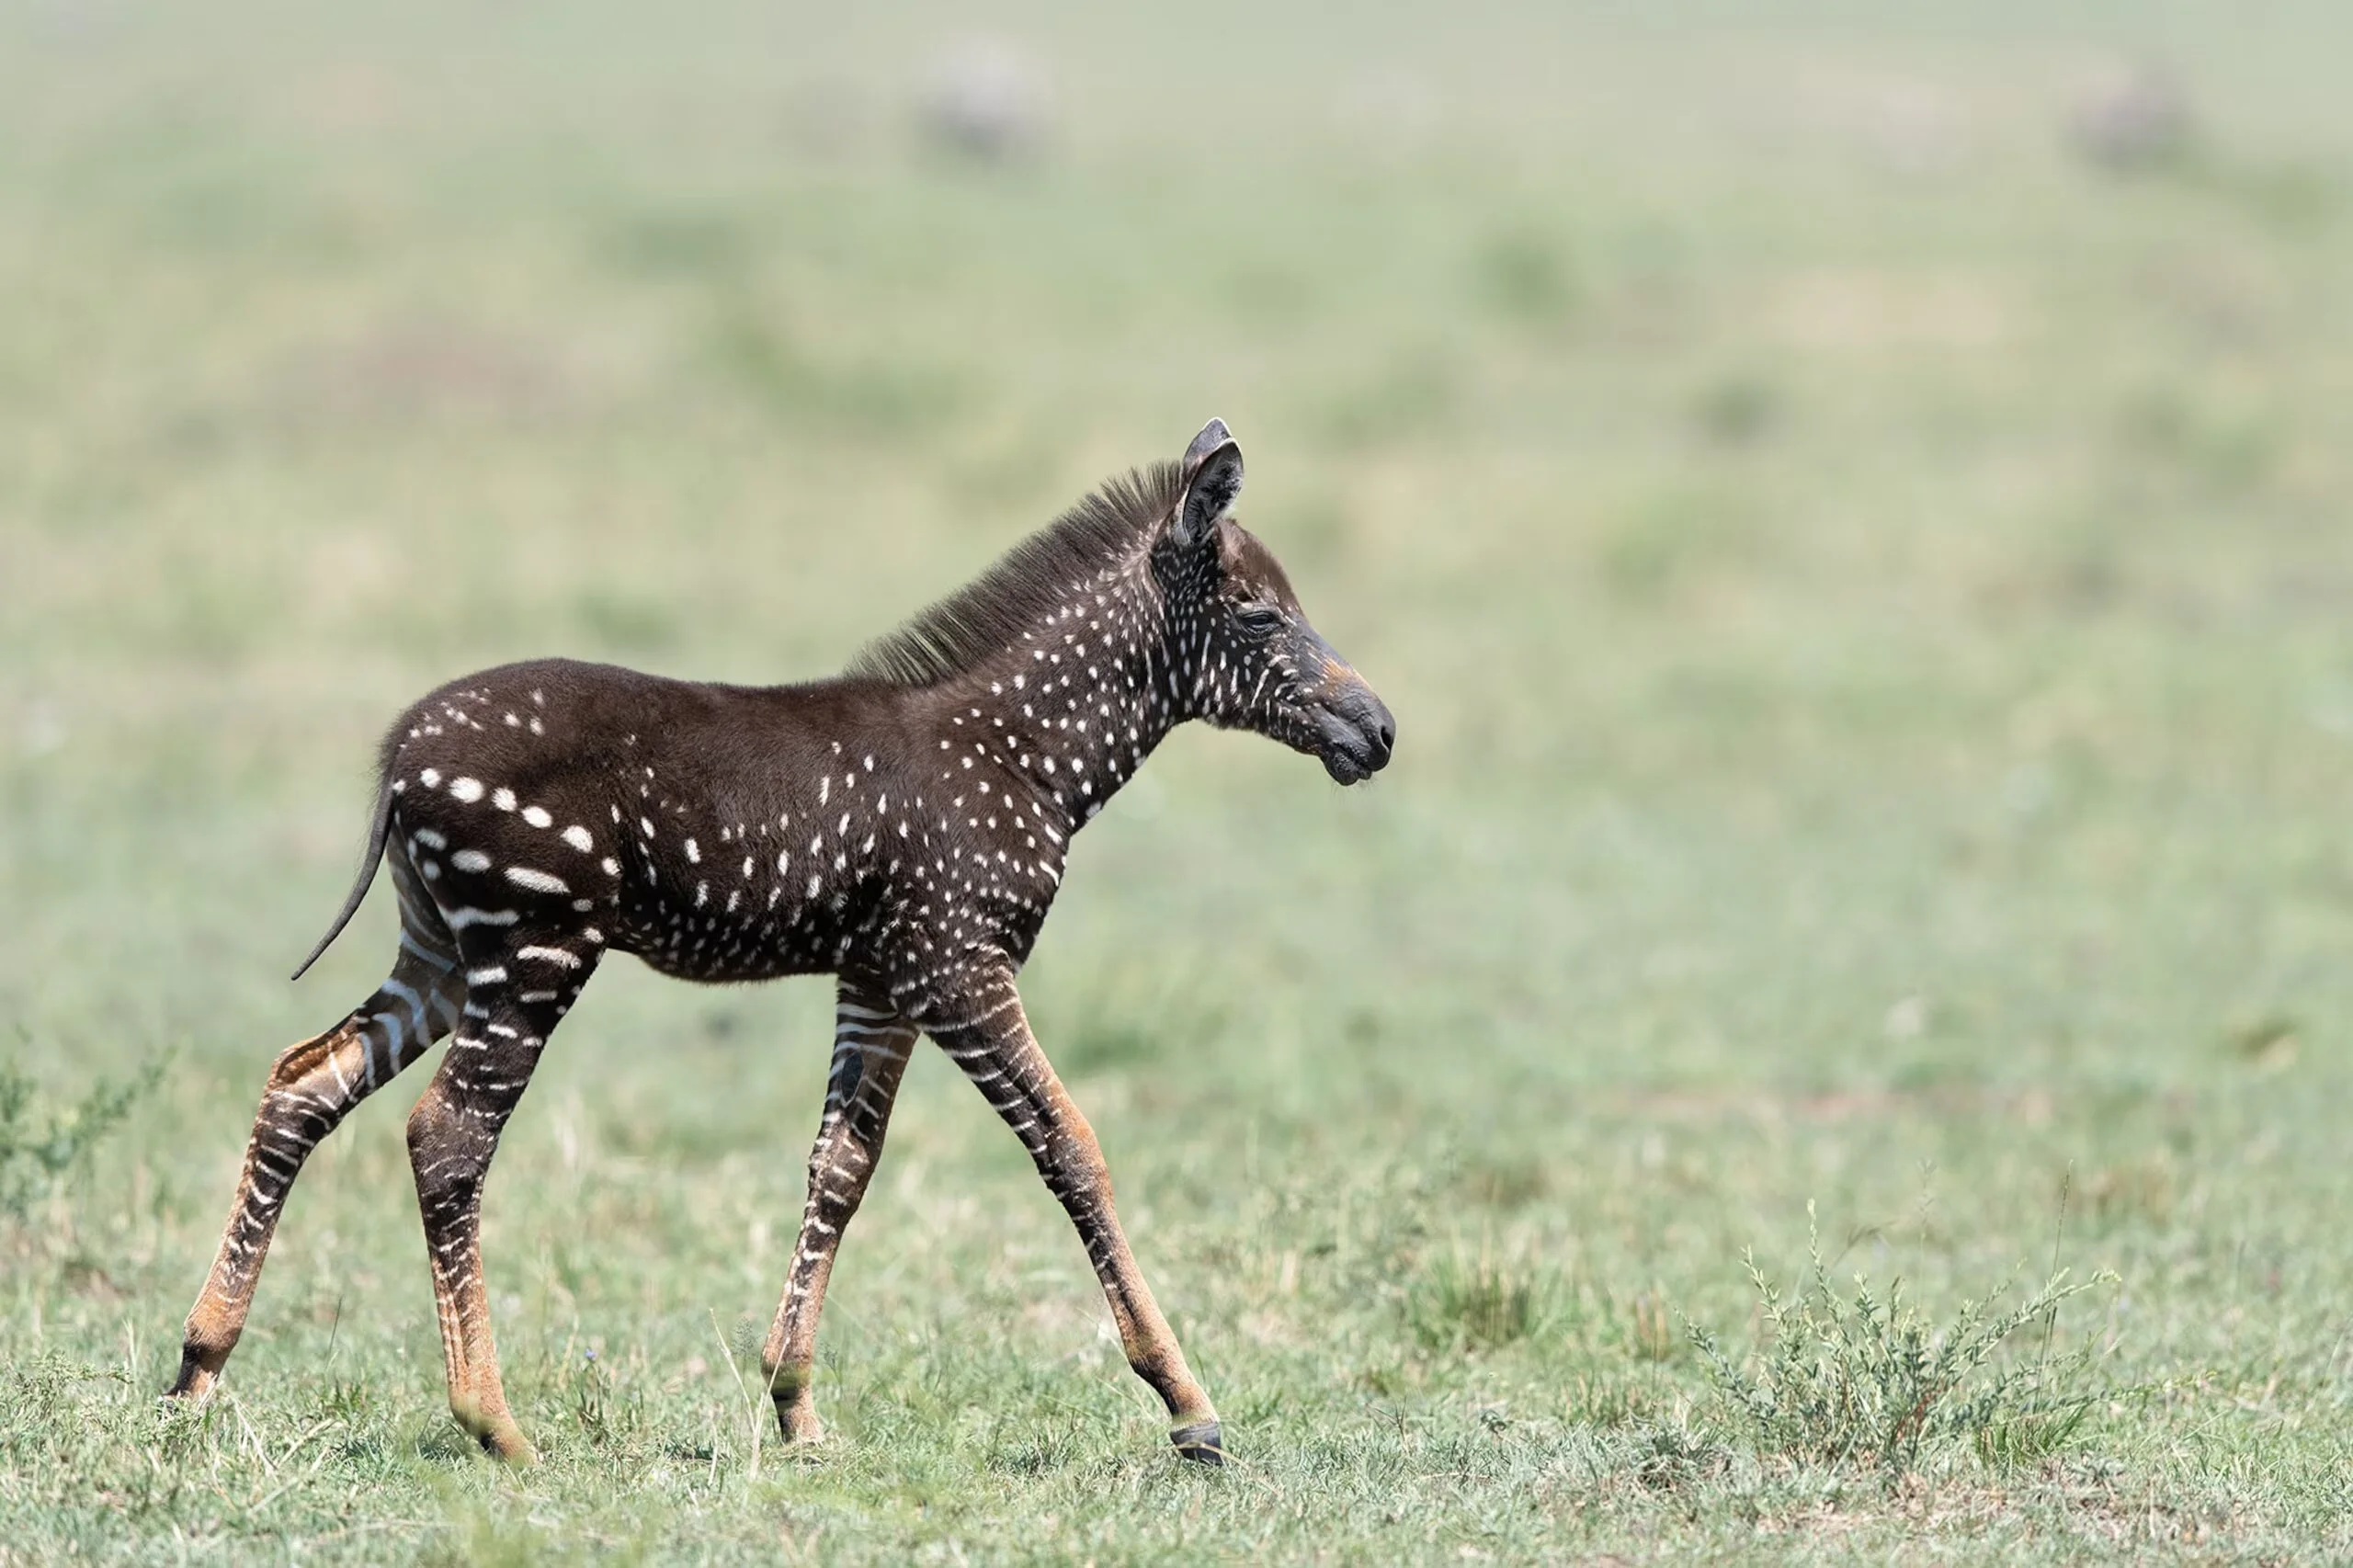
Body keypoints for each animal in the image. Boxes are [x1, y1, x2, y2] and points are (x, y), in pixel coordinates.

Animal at [165, 421, 1392, 1460]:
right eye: (1258, 616)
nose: (1378, 730)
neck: (1021, 753)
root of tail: (397, 756)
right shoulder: (959, 965)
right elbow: (1071, 1144)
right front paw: (1187, 1403)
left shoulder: (883, 976)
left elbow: (841, 1166)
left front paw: (795, 1405)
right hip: (529, 951)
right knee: (447, 1137)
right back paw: (494, 1424)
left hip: (440, 954)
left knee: (301, 1083)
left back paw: (196, 1371)